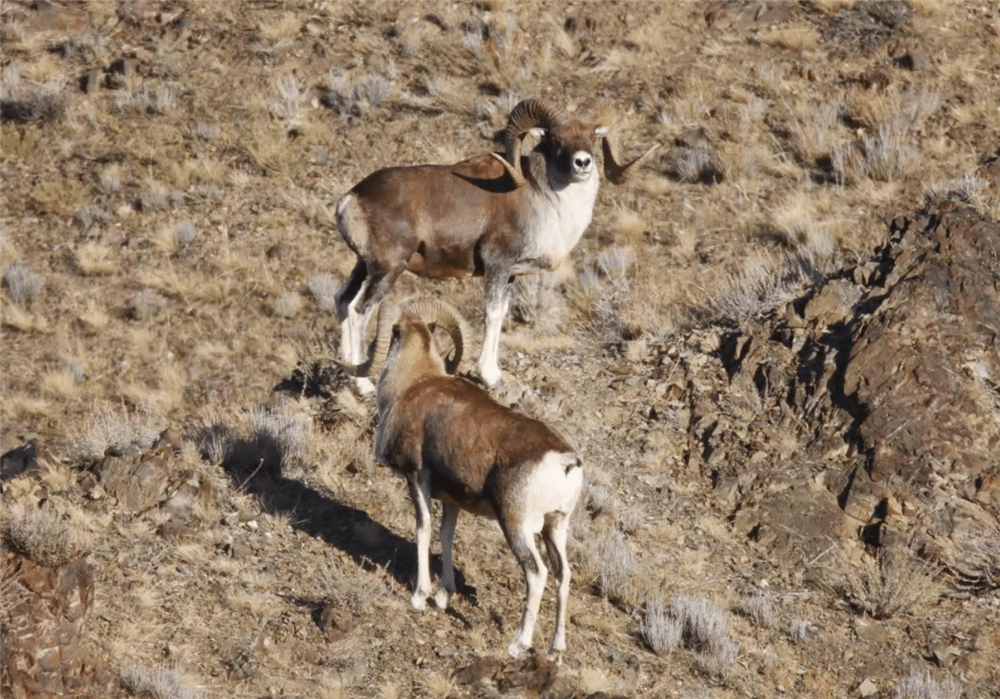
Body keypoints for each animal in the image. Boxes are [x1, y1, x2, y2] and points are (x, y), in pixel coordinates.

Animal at [330, 98, 656, 394]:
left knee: (343, 301)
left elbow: (502, 315)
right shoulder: (497, 265)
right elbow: (493, 313)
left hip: (364, 266)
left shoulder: (510, 274)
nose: (583, 163)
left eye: (592, 137)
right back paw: (363, 386)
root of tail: (351, 198)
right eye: (556, 139)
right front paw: (490, 377)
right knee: (359, 311)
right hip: (388, 269)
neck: (546, 199)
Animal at [338, 300, 584, 660]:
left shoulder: (417, 479)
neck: (413, 384)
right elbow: (446, 535)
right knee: (563, 575)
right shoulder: (452, 501)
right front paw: (443, 597)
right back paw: (556, 650)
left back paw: (517, 645)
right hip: (556, 527)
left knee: (536, 574)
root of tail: (566, 462)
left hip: (518, 526)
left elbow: (423, 529)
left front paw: (419, 598)